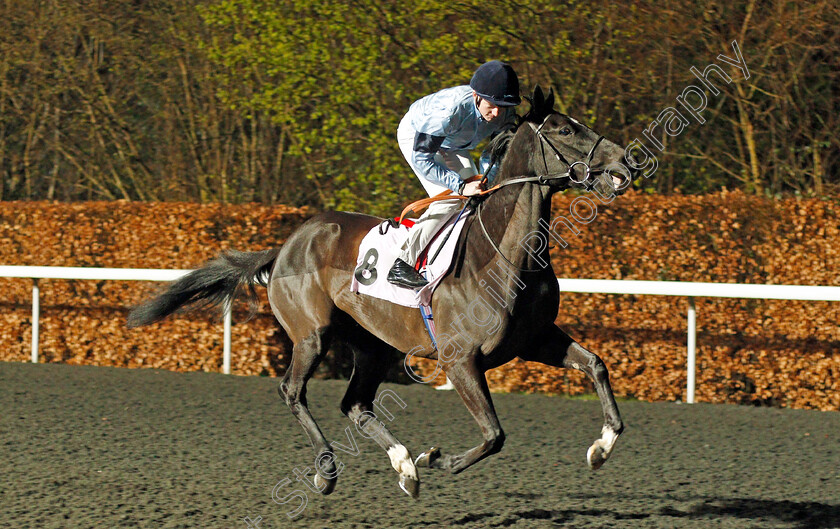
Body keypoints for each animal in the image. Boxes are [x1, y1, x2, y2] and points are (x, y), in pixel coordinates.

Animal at [128, 85, 632, 500]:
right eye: (565, 129)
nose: (624, 165)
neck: (504, 253)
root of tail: (288, 243)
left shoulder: (534, 340)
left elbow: (596, 366)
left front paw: (601, 448)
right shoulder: (460, 359)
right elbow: (494, 434)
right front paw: (439, 459)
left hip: (372, 343)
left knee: (354, 404)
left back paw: (404, 466)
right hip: (312, 335)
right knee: (293, 391)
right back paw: (329, 472)